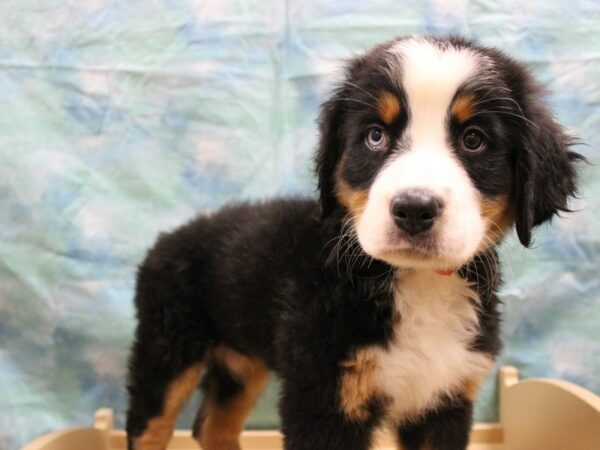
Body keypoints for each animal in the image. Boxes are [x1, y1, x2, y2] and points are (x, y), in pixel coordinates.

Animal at [125, 37, 580, 450]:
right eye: (375, 136)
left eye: (474, 139)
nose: (414, 208)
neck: (417, 284)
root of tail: (170, 238)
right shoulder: (325, 394)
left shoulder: (445, 397)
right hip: (168, 346)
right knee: (149, 426)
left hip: (240, 360)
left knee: (213, 425)